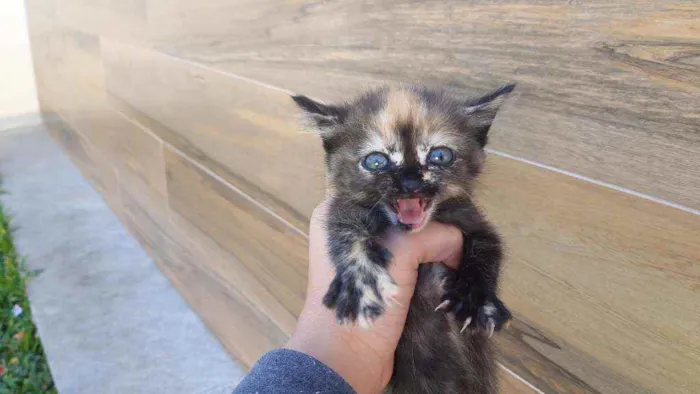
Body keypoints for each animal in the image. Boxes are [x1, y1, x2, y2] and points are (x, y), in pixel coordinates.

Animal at [292, 84, 516, 394]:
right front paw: (361, 283)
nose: (410, 183)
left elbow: (489, 250)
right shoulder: (342, 207)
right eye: (376, 161)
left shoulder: (475, 222)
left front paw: (477, 299)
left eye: (440, 156)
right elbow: (346, 232)